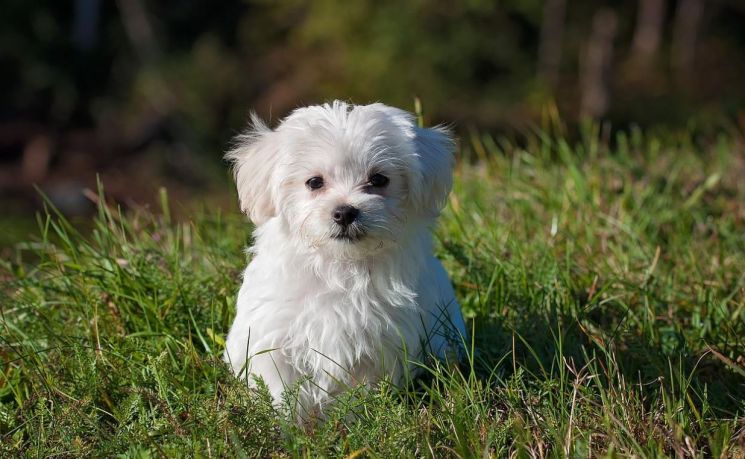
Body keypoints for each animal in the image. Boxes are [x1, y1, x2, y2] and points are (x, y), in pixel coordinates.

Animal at [222, 101, 464, 420]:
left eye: (378, 179)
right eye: (314, 182)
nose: (345, 212)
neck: (340, 266)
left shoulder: (379, 345)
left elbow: (361, 392)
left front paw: (353, 421)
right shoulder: (273, 338)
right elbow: (282, 389)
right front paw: (289, 425)